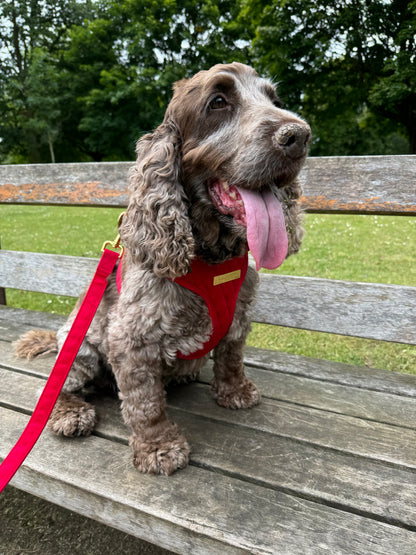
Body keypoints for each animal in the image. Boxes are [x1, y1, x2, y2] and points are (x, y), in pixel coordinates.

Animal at [14, 63, 310, 476]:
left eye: (275, 99)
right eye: (218, 102)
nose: (299, 136)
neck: (212, 257)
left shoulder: (239, 317)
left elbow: (231, 357)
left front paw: (235, 392)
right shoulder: (130, 340)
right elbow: (145, 403)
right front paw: (158, 446)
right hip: (80, 347)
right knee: (59, 386)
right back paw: (70, 412)